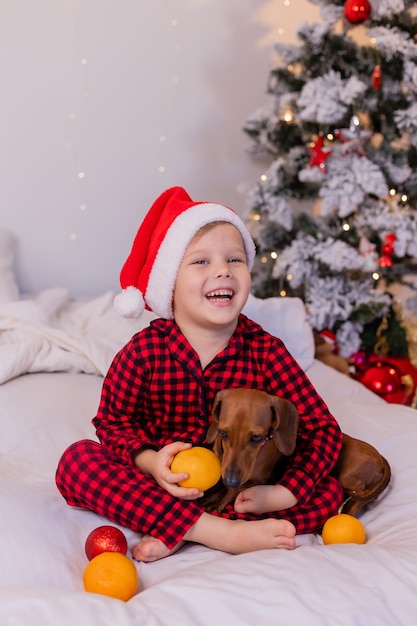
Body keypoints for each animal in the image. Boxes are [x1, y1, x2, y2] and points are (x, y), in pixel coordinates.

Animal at [203, 388, 392, 516]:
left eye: (256, 437)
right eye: (222, 433)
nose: (231, 480)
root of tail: (380, 459)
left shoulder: (258, 480)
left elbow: (233, 490)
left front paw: (219, 499)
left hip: (349, 480)